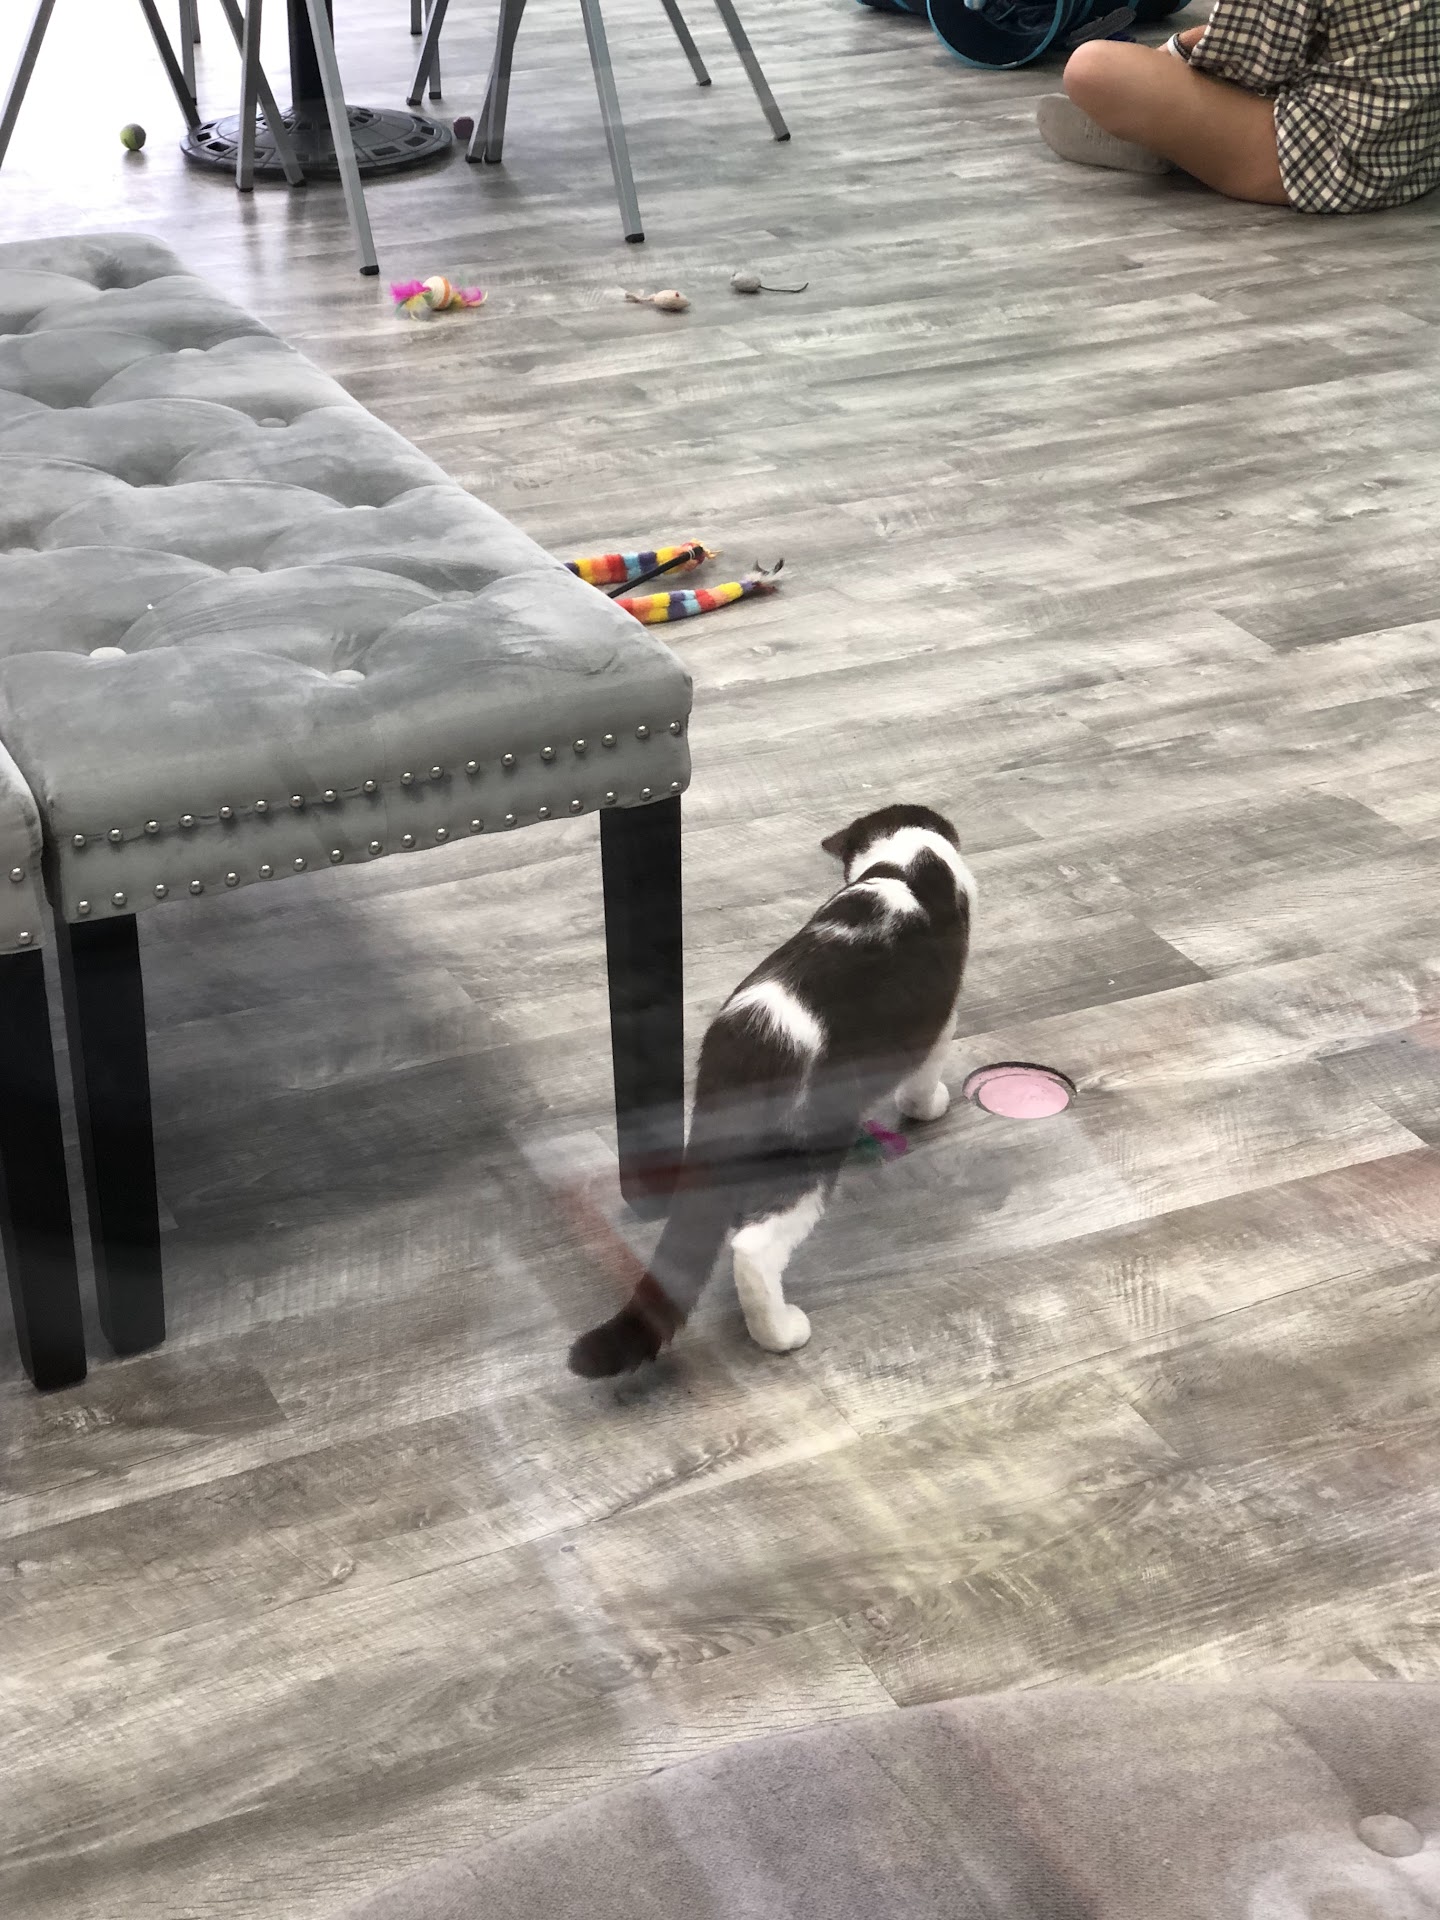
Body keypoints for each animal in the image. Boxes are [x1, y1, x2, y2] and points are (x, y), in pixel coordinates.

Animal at [568, 803, 975, 1378]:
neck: (905, 861)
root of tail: (748, 1048)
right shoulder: (939, 1015)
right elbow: (926, 1069)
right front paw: (928, 1105)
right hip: (807, 1146)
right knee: (753, 1247)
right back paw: (780, 1332)